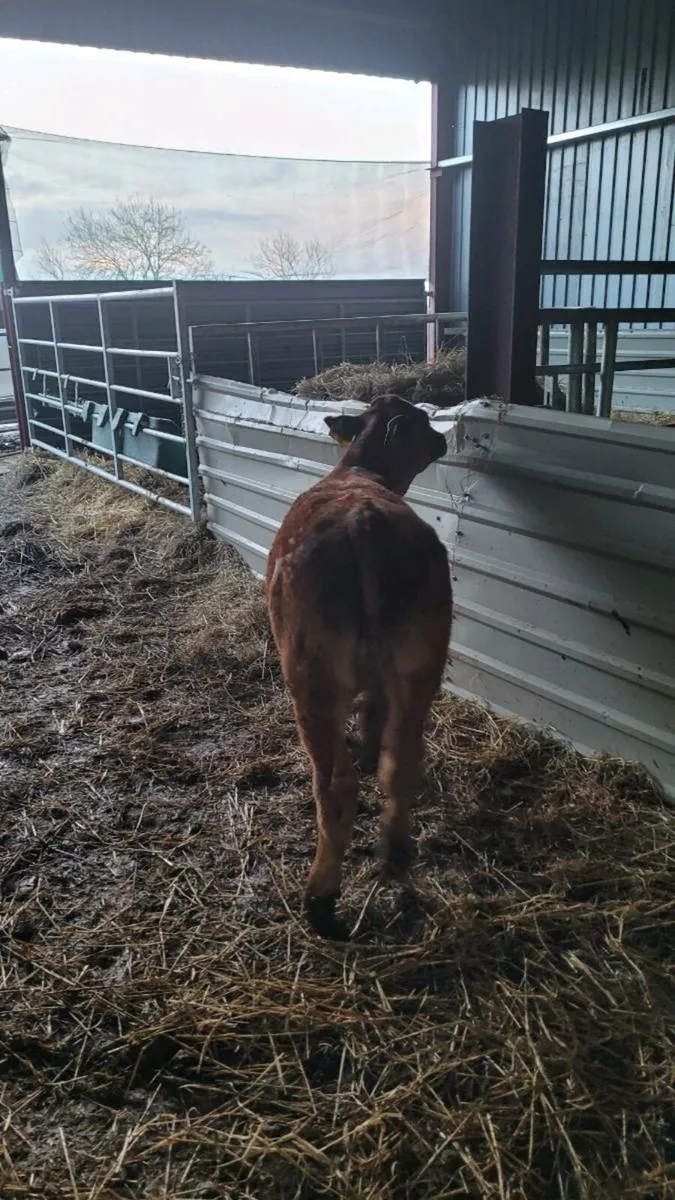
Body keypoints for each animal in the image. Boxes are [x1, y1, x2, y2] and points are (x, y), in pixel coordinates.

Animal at [266, 394, 452, 940]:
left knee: (334, 786)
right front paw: (369, 750)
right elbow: (375, 717)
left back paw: (321, 899)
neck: (360, 471)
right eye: (425, 423)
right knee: (402, 761)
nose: (443, 439)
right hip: (420, 659)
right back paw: (395, 852)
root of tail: (364, 523)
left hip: (312, 674)